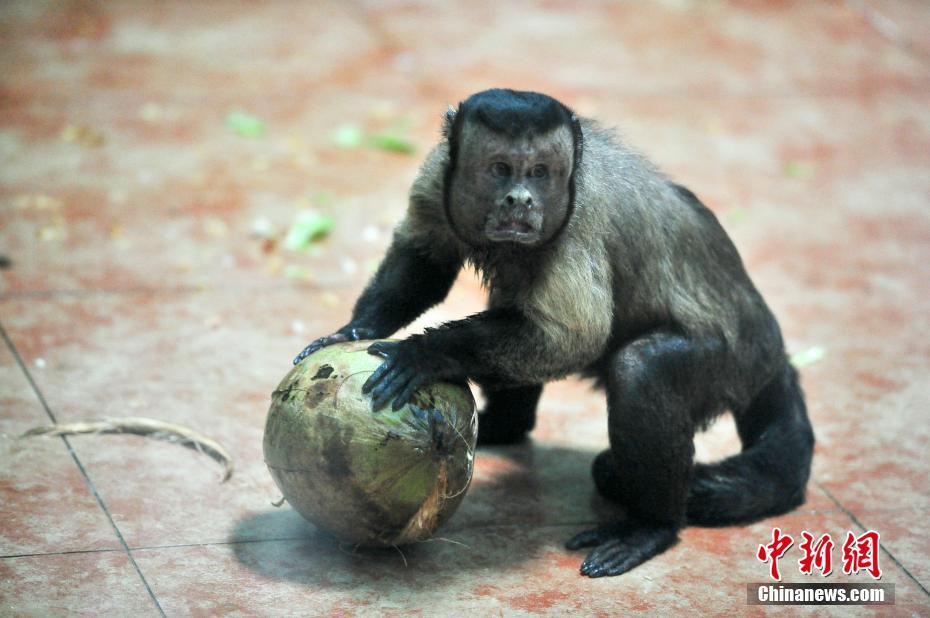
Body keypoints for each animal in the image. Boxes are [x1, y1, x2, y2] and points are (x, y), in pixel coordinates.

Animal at [293, 89, 815, 578]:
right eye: (501, 169)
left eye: (540, 173)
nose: (521, 199)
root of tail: (771, 349)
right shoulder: (436, 173)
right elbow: (425, 258)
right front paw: (356, 328)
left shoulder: (577, 224)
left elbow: (571, 338)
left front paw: (426, 352)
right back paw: (505, 425)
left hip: (729, 365)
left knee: (639, 367)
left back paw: (651, 527)